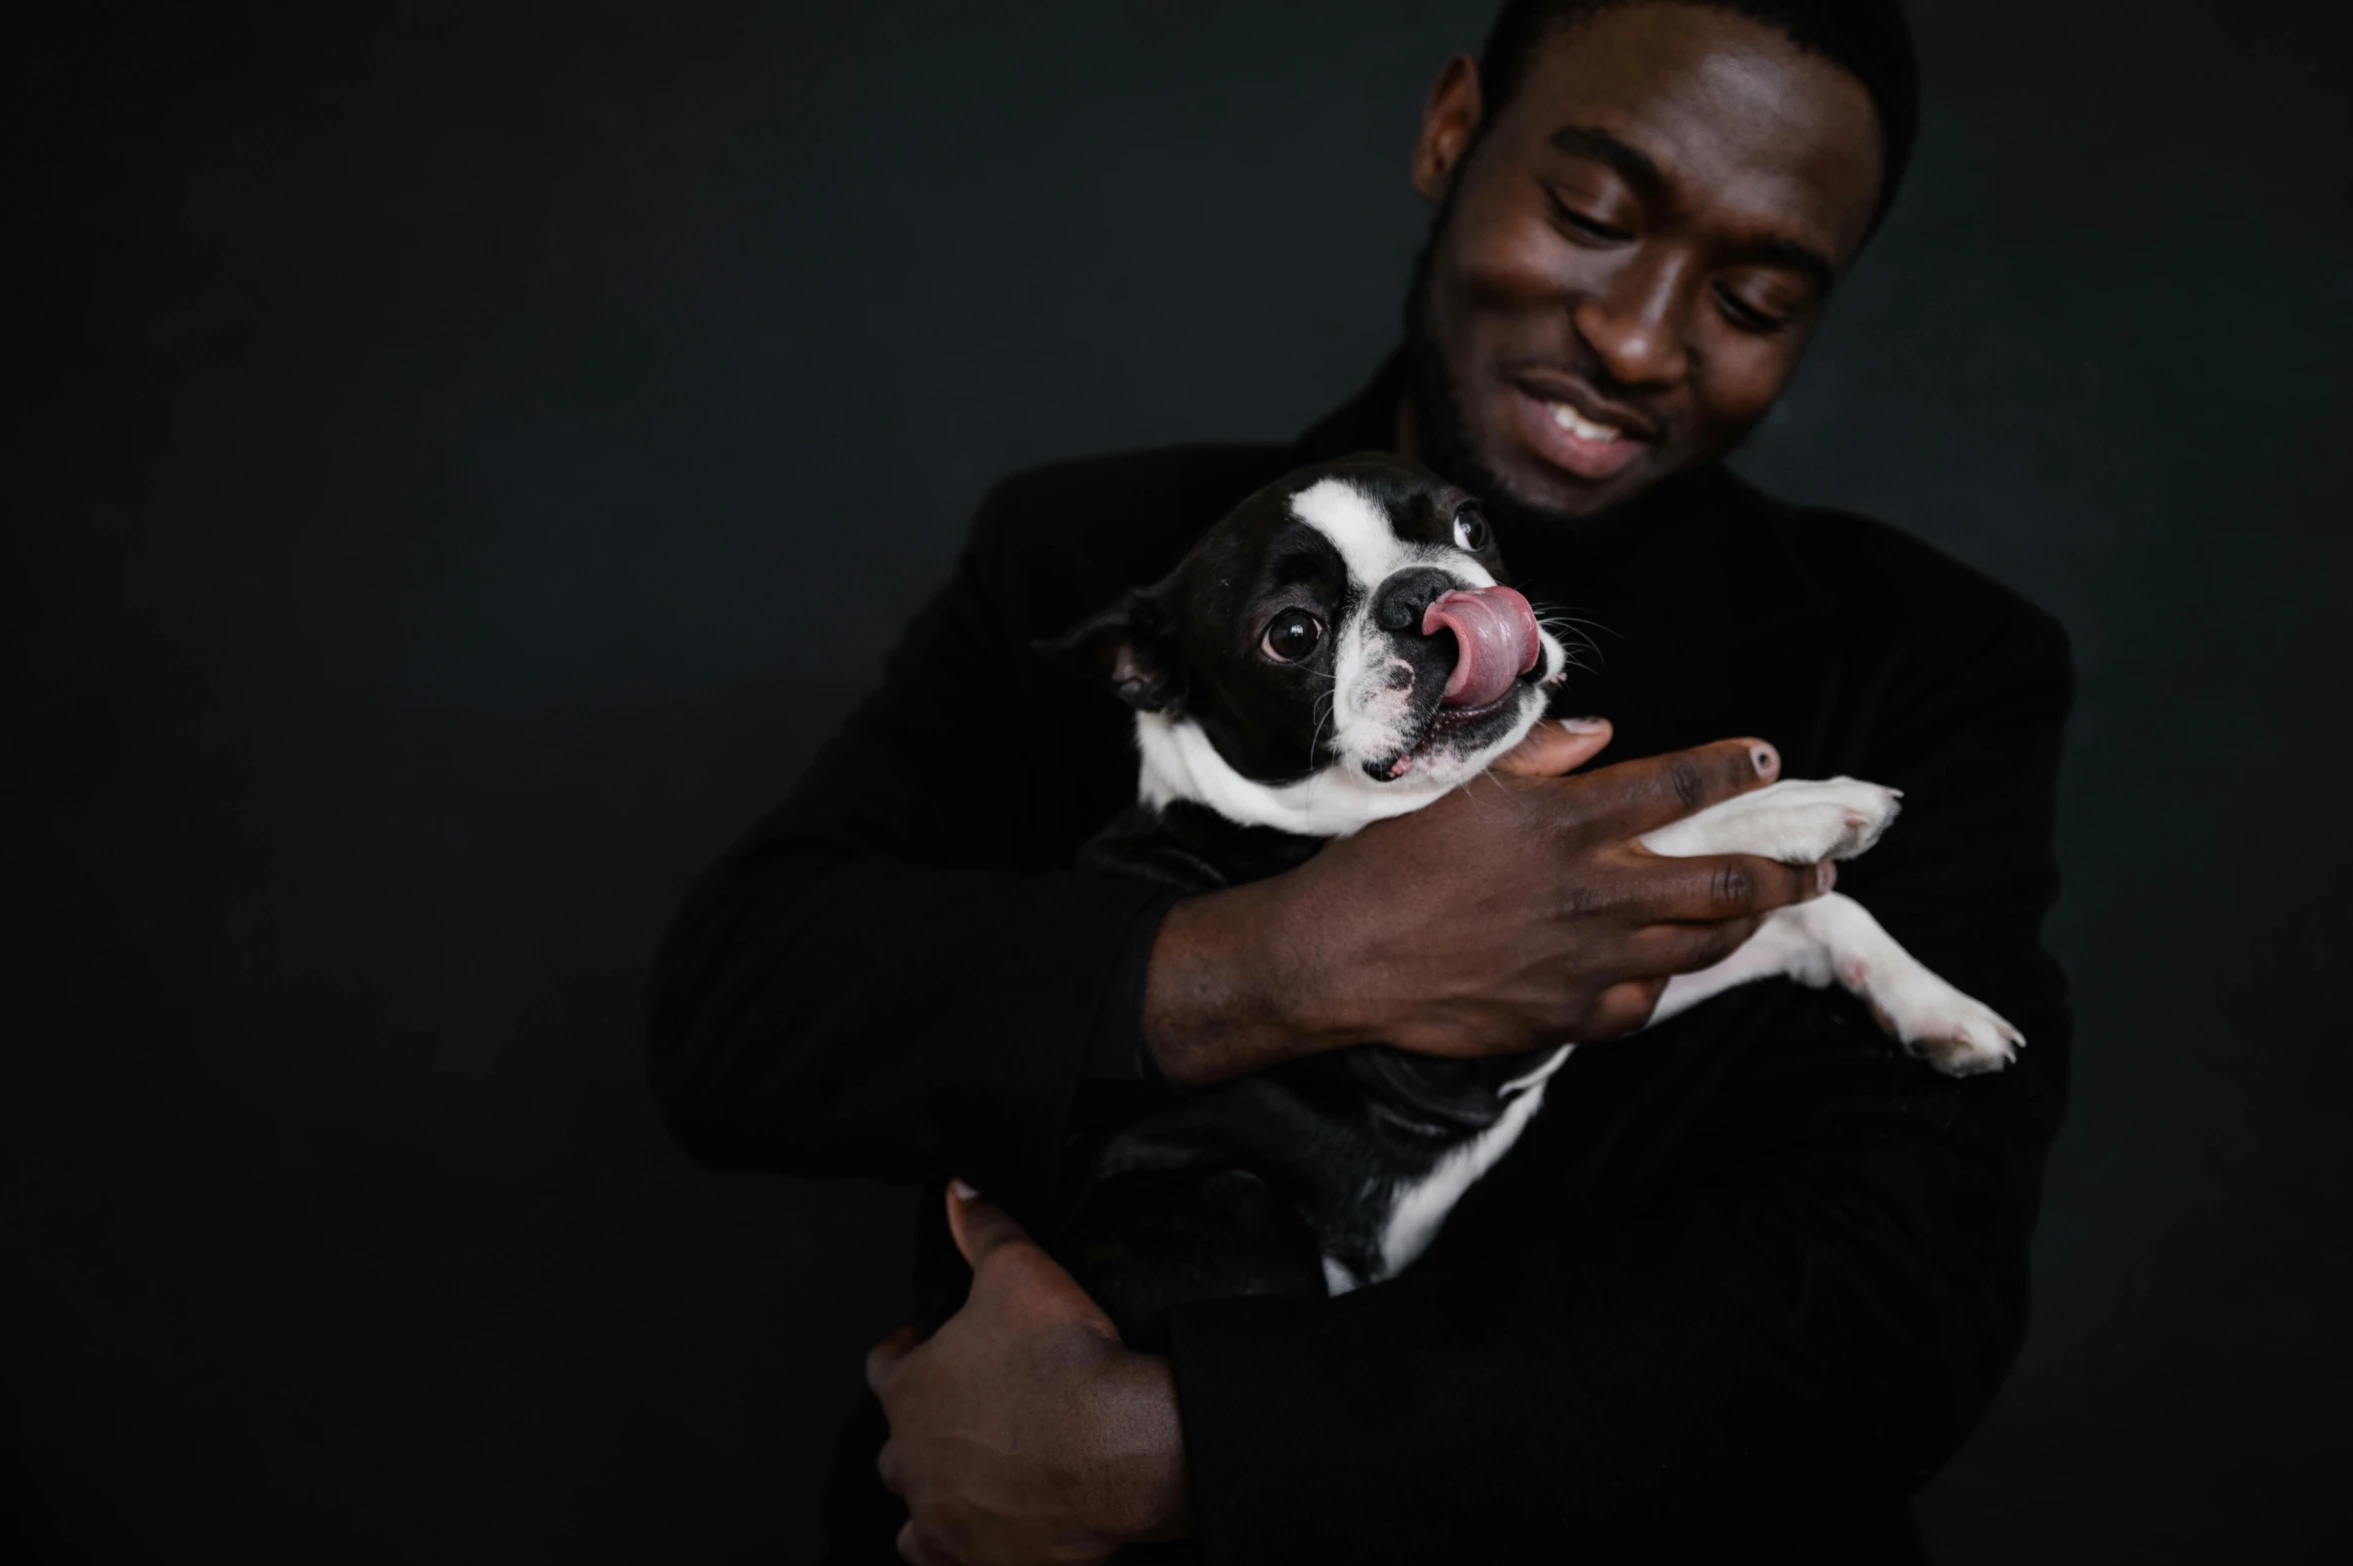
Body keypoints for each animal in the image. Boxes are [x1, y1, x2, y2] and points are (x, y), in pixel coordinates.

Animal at [1040, 449, 2014, 1344]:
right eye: (1291, 634)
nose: (1420, 593)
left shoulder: (1624, 974)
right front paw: (1801, 805)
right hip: (1223, 1204)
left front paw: (1934, 1006)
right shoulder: (1468, 1047)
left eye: (1470, 525)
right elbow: (1632, 837)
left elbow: (1807, 907)